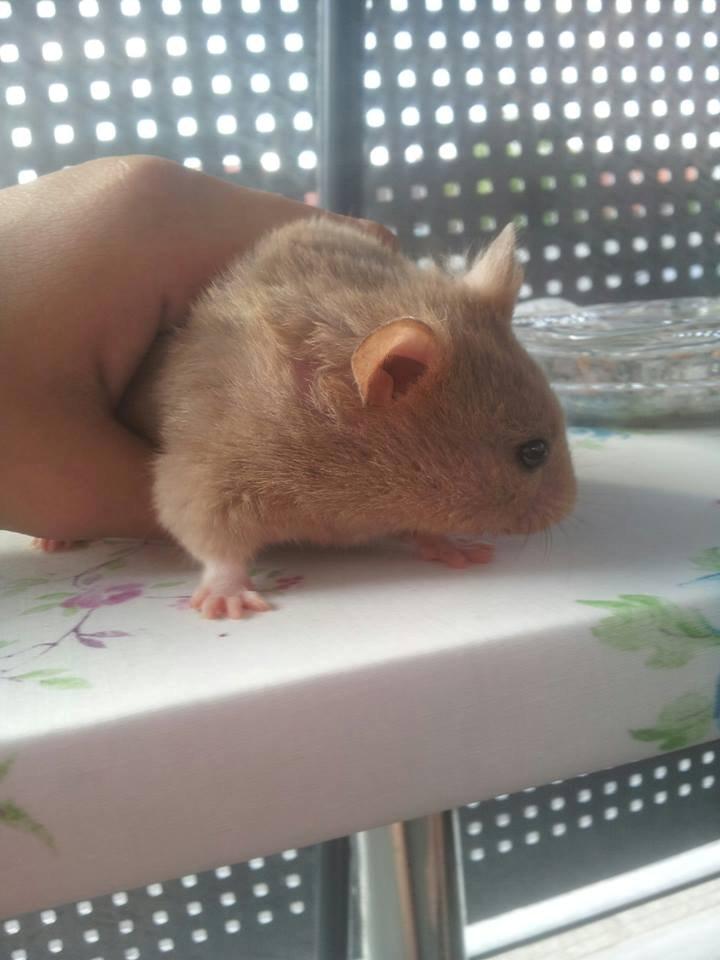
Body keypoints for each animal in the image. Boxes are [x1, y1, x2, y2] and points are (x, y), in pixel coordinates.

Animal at [148, 219, 576, 618]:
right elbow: (216, 547)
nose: (570, 507)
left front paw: (463, 551)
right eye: (533, 452)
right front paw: (229, 606)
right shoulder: (207, 476)